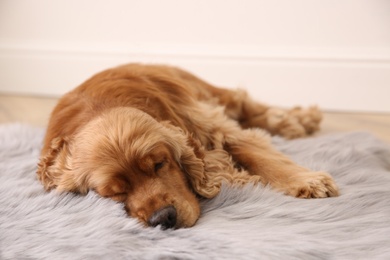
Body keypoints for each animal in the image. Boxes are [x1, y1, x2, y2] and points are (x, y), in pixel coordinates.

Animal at [38, 64, 340, 229]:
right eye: (114, 192)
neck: (99, 109)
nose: (164, 218)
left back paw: (300, 120)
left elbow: (254, 150)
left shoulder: (206, 122)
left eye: (160, 164)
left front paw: (306, 180)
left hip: (211, 93)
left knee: (249, 106)